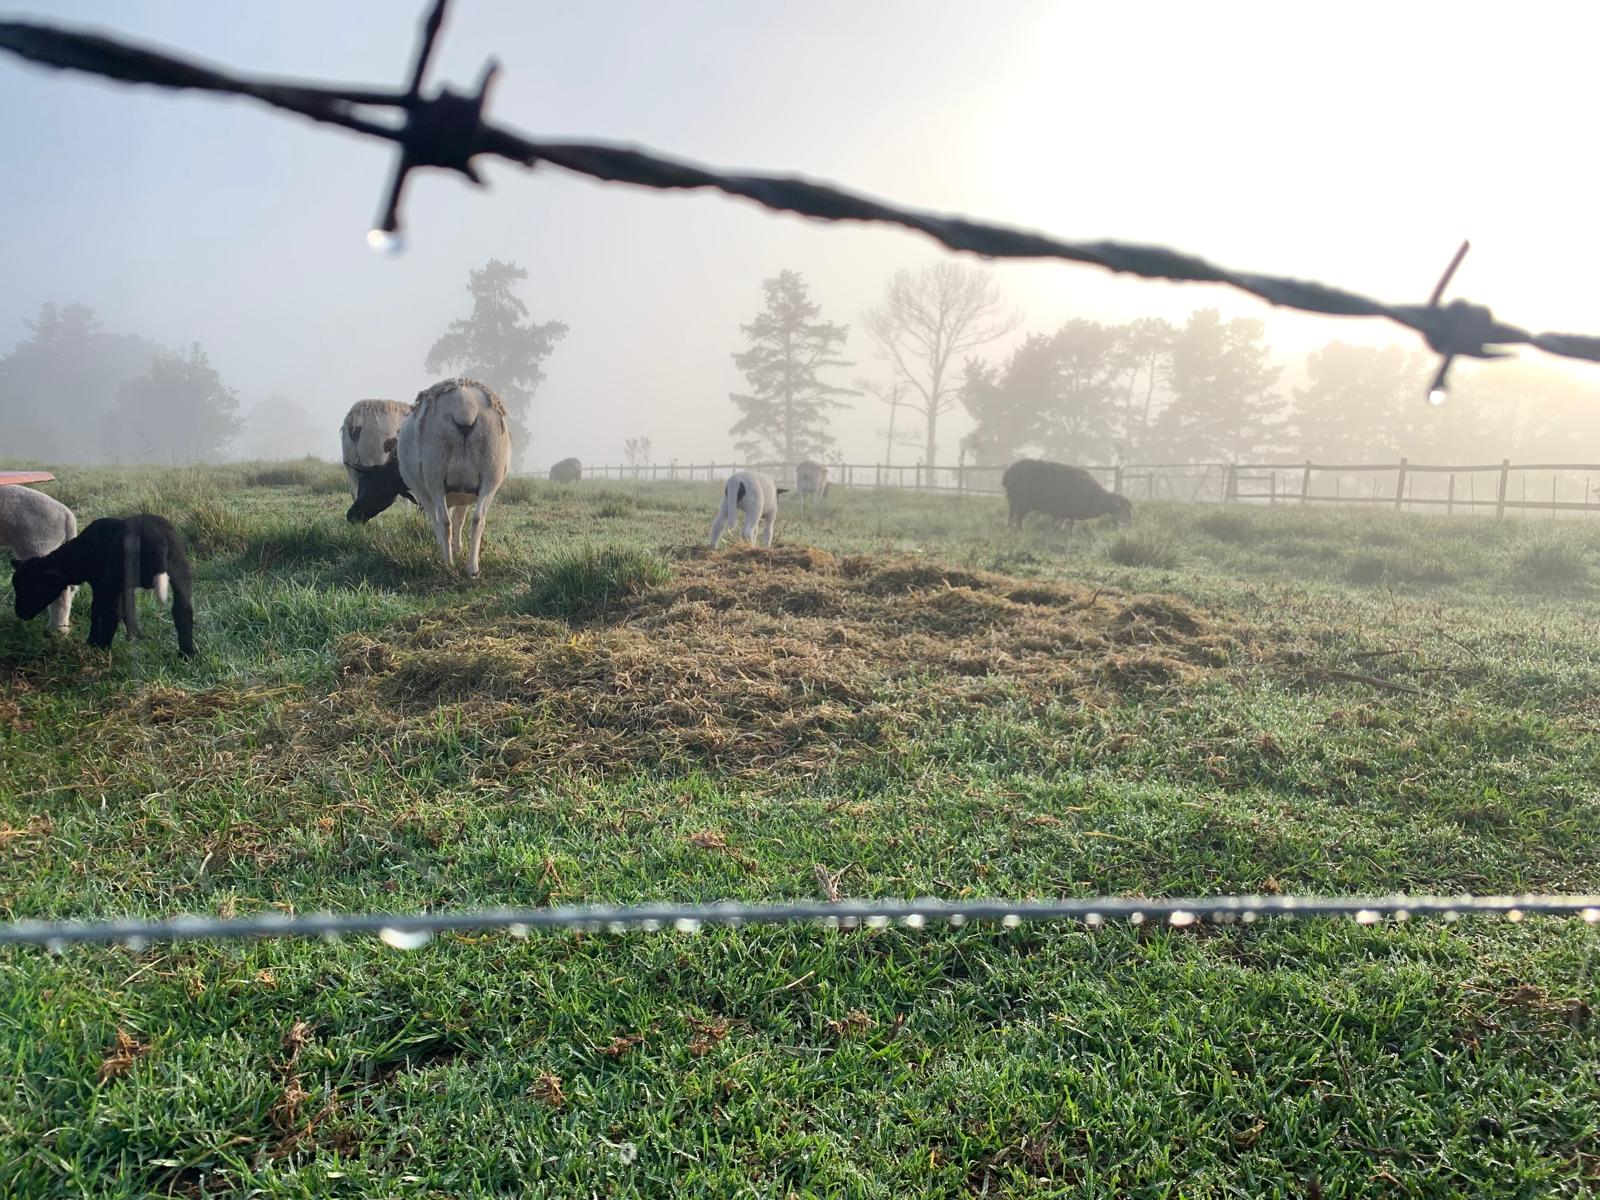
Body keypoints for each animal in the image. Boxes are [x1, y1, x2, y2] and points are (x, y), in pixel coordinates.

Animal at [12, 513, 195, 657]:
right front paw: (135, 637)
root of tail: (155, 538)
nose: (20, 614)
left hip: (116, 577)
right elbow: (128, 611)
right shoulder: (124, 588)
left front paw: (92, 641)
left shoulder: (101, 585)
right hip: (180, 571)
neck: (77, 555)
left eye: (34, 586)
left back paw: (102, 648)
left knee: (111, 614)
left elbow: (96, 612)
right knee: (183, 610)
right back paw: (186, 654)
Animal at [396, 378, 512, 576]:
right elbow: (460, 519)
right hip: (491, 474)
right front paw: (457, 548)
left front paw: (447, 547)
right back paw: (472, 567)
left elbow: (439, 520)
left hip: (434, 473)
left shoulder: (424, 494)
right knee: (477, 519)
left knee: (444, 520)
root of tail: (464, 403)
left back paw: (448, 563)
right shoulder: (464, 494)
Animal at [1002, 458, 1132, 538]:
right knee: (1017, 519)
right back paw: (1020, 532)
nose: (1129, 523)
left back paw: (1012, 531)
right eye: (1124, 509)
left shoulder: (1065, 512)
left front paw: (1058, 534)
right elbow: (1063, 525)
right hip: (1021, 501)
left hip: (1016, 502)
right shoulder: (1065, 510)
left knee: (1012, 518)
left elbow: (1062, 525)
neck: (1095, 496)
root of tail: (1008, 474)